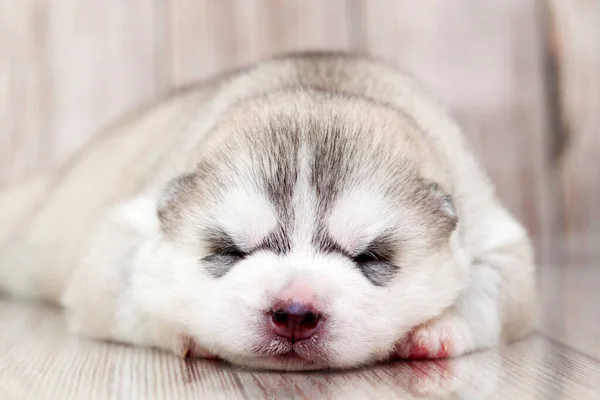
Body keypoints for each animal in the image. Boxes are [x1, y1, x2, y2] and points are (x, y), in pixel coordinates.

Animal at [0, 51, 536, 370]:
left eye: (368, 258)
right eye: (231, 251)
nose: (295, 312)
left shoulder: (494, 236)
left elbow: (489, 294)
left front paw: (434, 329)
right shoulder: (120, 244)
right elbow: (132, 296)